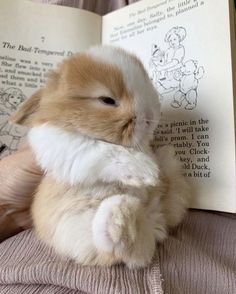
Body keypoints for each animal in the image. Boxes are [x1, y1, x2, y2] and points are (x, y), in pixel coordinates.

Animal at [11, 46, 192, 268]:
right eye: (107, 100)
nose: (151, 116)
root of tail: (153, 219)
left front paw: (153, 166)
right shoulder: (68, 147)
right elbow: (102, 150)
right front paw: (146, 172)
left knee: (138, 248)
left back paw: (166, 160)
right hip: (73, 225)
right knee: (114, 250)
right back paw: (119, 212)